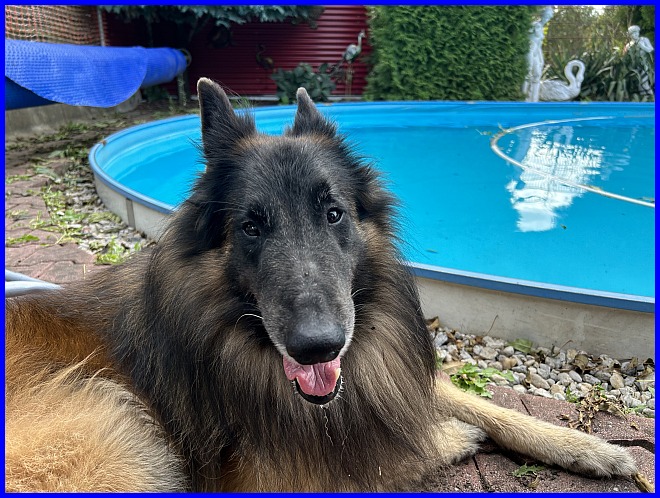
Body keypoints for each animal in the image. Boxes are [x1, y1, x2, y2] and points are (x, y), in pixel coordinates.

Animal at [5, 79, 639, 491]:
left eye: (333, 214)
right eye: (251, 226)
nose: (318, 346)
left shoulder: (382, 373)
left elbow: (475, 403)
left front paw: (592, 450)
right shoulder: (271, 474)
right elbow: (386, 455)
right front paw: (450, 437)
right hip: (118, 431)